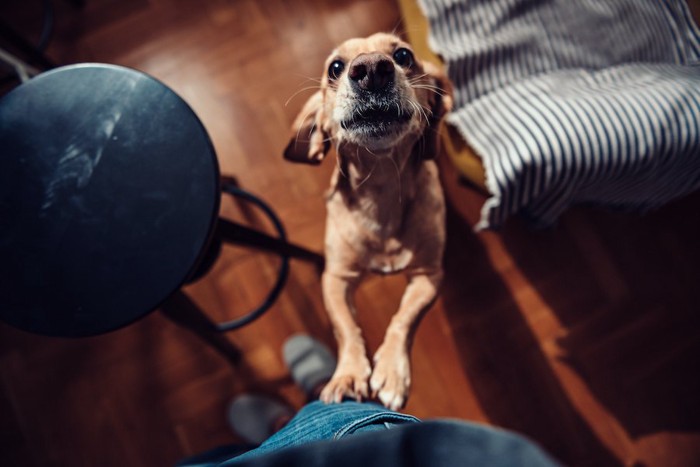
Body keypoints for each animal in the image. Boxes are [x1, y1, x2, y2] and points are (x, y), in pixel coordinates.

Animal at [284, 32, 454, 410]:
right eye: (335, 67)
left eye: (403, 55)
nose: (372, 69)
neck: (381, 191)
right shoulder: (335, 278)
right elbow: (346, 328)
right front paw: (347, 375)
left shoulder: (429, 276)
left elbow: (404, 318)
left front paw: (392, 371)